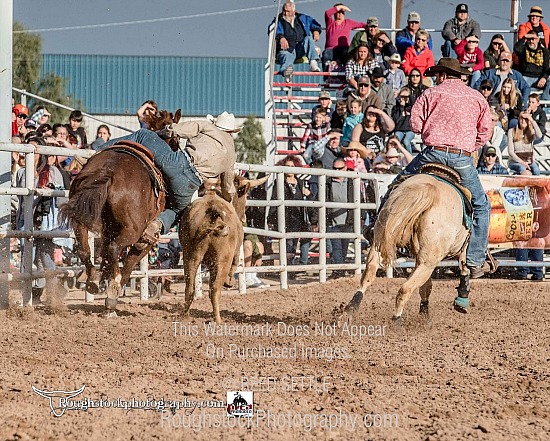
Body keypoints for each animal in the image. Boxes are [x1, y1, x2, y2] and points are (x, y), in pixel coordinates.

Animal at [60, 110, 181, 316]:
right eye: (176, 139)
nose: (177, 148)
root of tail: (109, 171)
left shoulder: (109, 228)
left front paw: (104, 279)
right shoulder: (146, 238)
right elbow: (130, 260)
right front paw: (113, 289)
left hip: (80, 218)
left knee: (85, 249)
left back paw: (91, 279)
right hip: (134, 229)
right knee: (115, 248)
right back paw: (112, 293)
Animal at [344, 174, 470, 322]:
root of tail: (427, 189)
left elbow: (426, 286)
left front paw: (424, 314)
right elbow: (464, 268)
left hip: (380, 243)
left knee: (369, 272)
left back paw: (349, 310)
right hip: (429, 261)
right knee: (405, 289)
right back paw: (397, 320)